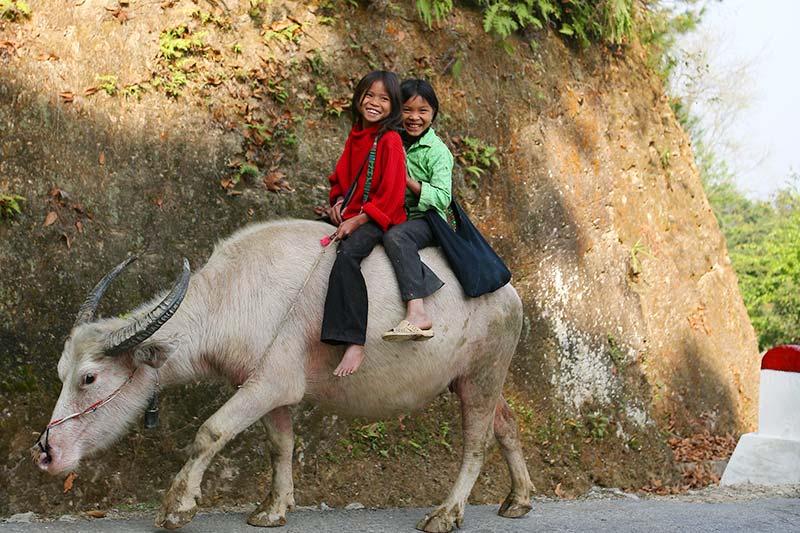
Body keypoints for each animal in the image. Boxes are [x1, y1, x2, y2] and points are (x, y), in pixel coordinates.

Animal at [32, 218, 532, 528]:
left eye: (89, 378)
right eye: (61, 371)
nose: (46, 453)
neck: (234, 296)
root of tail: (510, 294)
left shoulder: (269, 384)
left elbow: (210, 431)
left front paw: (177, 506)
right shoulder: (266, 389)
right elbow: (280, 446)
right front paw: (273, 509)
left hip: (481, 377)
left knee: (476, 442)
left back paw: (446, 514)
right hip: (476, 379)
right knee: (506, 424)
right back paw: (519, 500)